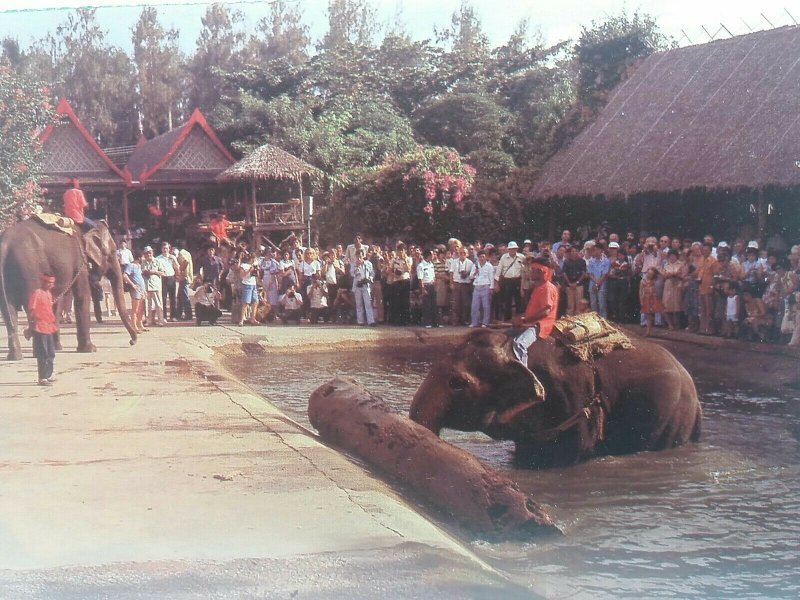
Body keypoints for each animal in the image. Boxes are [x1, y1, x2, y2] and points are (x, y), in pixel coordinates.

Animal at [0, 220, 138, 360]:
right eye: (114, 251)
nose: (132, 342)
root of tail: (5, 244)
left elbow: (55, 302)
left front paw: (58, 348)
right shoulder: (80, 261)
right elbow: (82, 295)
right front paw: (90, 349)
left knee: (8, 311)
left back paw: (16, 356)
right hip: (30, 270)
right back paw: (38, 353)